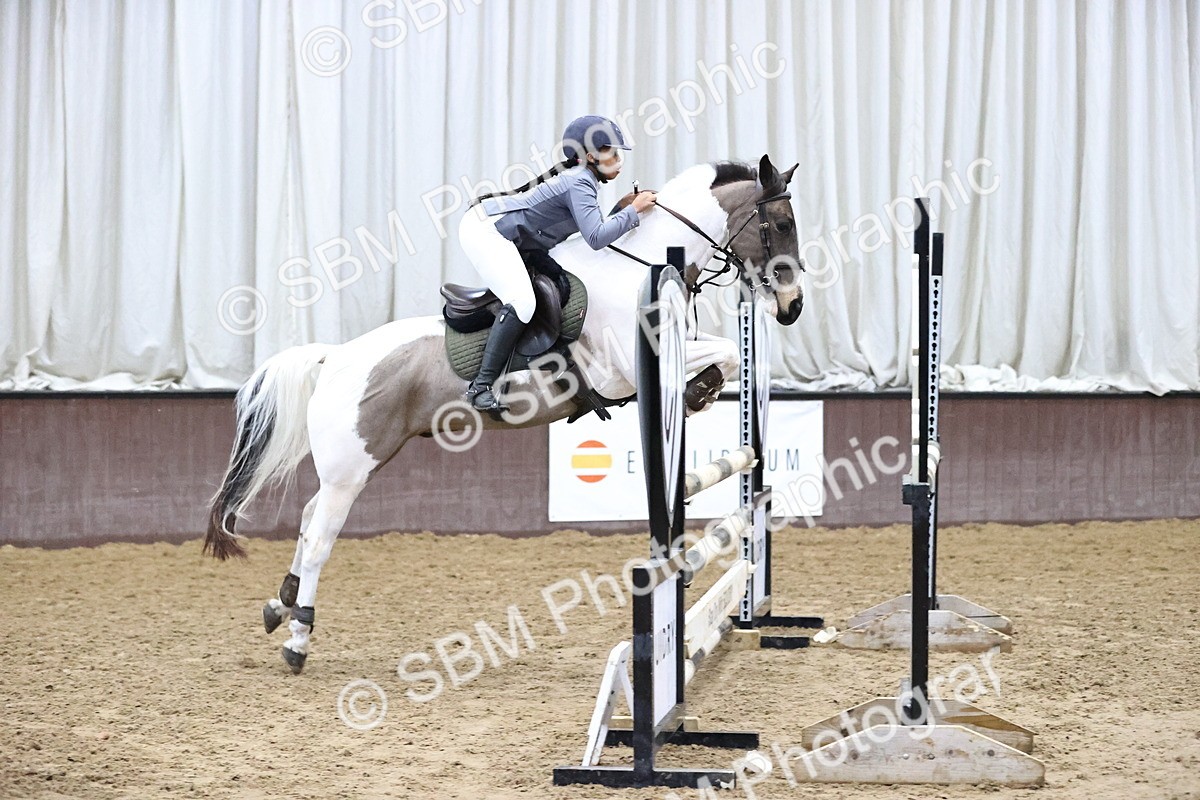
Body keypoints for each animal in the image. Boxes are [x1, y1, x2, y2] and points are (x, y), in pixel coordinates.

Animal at [203, 154, 803, 673]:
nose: (792, 307)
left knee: (307, 521)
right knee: (319, 538)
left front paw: (701, 391)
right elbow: (723, 352)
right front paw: (701, 388)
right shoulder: (626, 373)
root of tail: (334, 357)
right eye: (780, 222)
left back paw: (279, 605)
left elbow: (723, 356)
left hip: (349, 469)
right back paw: (298, 636)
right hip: (349, 471)